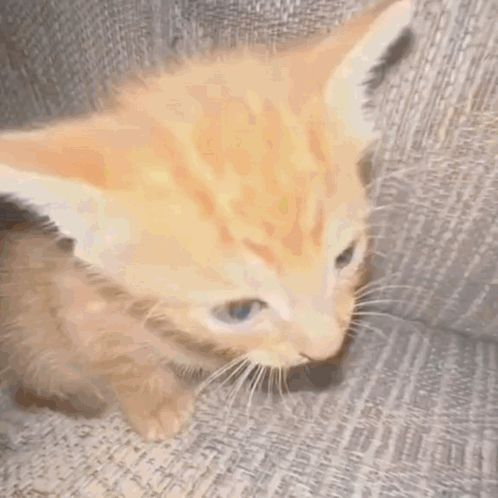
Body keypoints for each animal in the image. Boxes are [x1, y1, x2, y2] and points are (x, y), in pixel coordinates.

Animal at [0, 1, 412, 442]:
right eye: (239, 311)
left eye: (345, 257)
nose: (326, 347)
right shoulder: (71, 297)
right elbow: (114, 357)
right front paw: (155, 401)